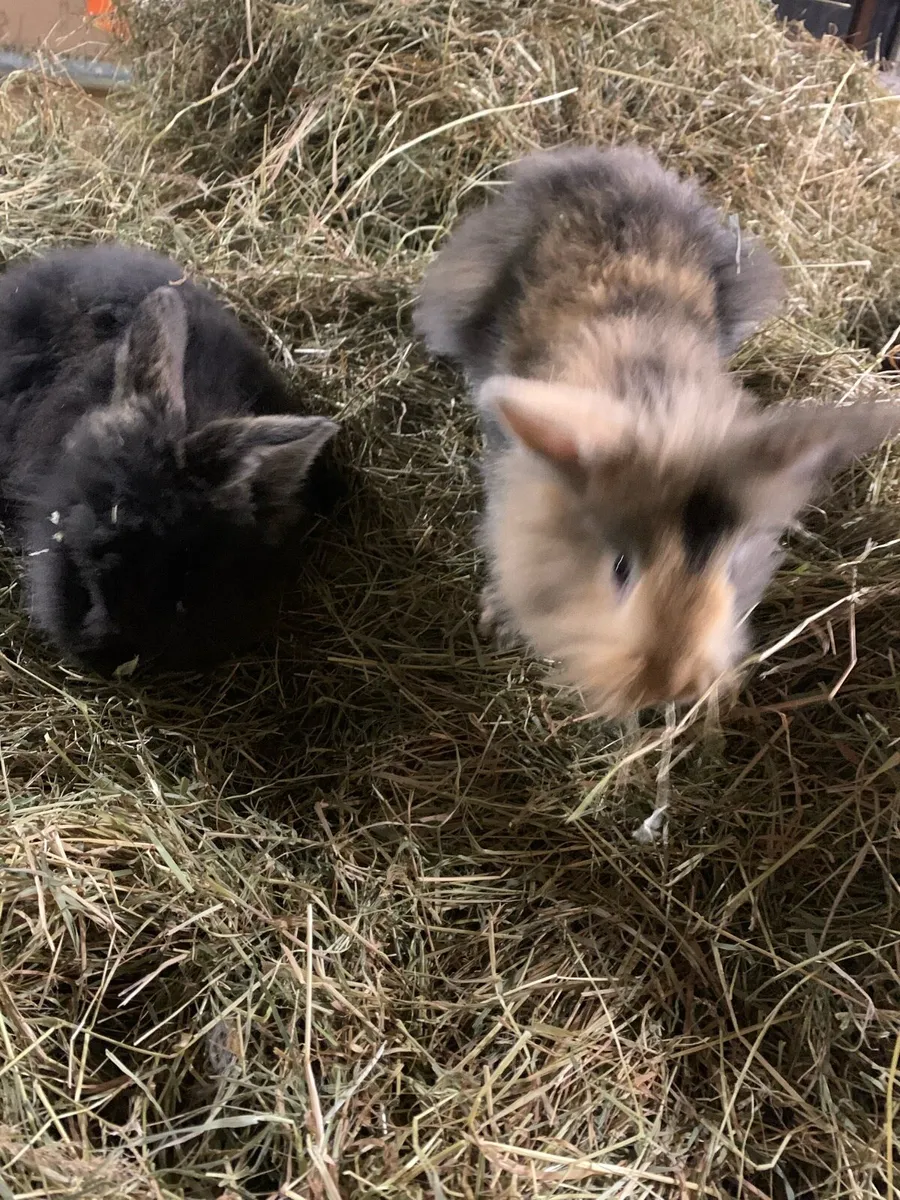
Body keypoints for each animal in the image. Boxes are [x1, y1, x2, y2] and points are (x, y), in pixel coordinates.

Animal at [414, 144, 900, 718]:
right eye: (621, 568)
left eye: (729, 565)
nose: (671, 685)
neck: (659, 409)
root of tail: (614, 166)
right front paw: (499, 620)